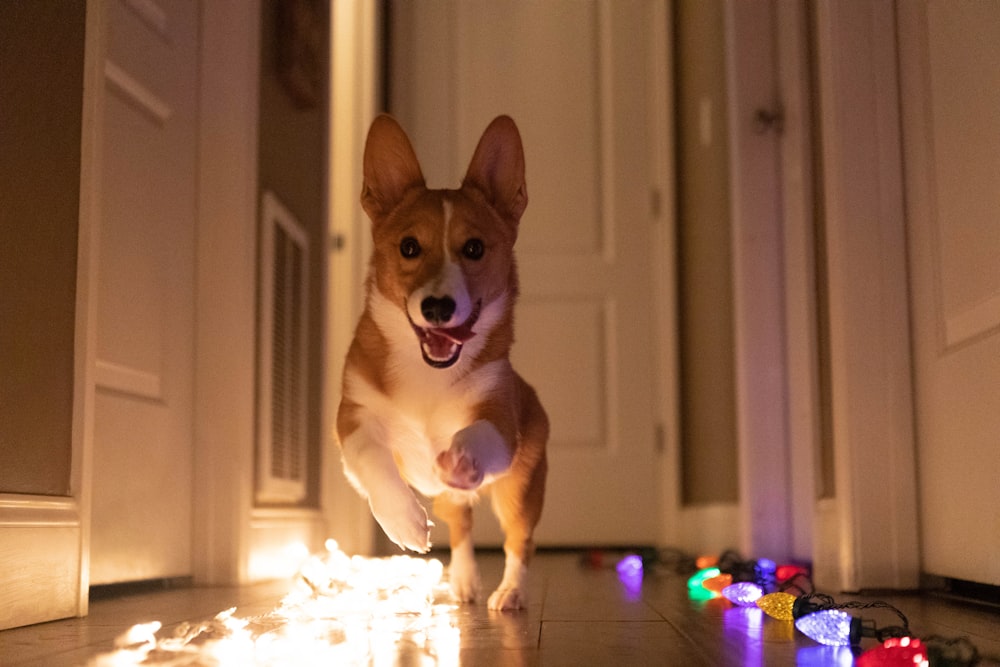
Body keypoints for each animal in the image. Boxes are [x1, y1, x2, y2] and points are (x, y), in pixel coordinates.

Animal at [340, 115, 552, 612]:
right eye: (409, 247)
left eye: (473, 248)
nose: (437, 308)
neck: (428, 373)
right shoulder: (352, 417)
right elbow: (371, 457)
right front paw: (403, 521)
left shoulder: (499, 421)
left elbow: (478, 434)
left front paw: (460, 458)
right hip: (449, 502)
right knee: (461, 528)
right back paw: (464, 581)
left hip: (519, 492)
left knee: (519, 541)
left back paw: (509, 591)